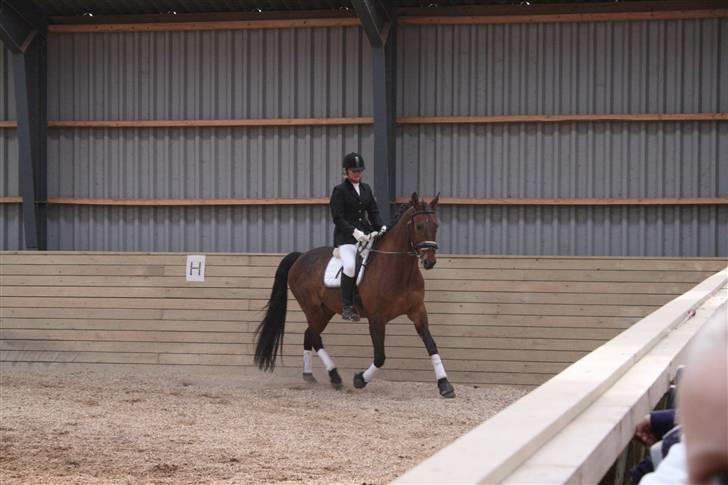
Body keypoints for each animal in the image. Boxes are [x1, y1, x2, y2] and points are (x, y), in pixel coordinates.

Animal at [253, 193, 452, 398]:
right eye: (418, 226)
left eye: (436, 225)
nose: (429, 261)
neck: (398, 269)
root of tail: (300, 257)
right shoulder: (377, 318)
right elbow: (380, 356)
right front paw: (359, 380)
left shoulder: (418, 311)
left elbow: (431, 345)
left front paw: (445, 385)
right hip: (312, 309)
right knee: (315, 336)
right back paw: (335, 377)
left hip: (325, 311)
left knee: (309, 334)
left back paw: (309, 377)